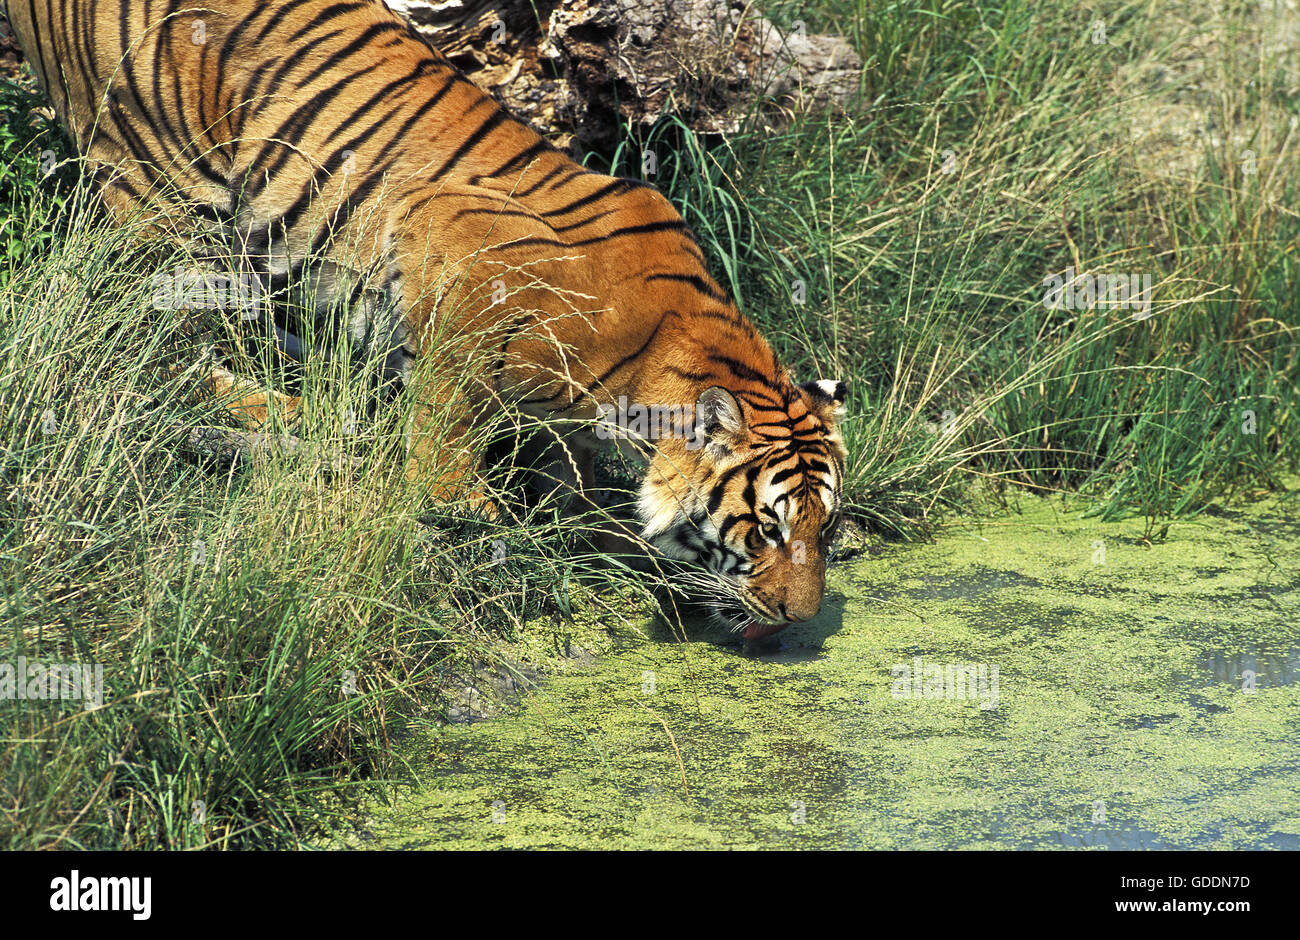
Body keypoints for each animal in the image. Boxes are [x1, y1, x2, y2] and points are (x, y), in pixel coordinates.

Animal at [5, 0, 848, 639]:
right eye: (767, 529)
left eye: (826, 529)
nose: (798, 619)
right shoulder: (454, 229)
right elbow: (449, 407)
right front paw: (463, 506)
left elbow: (568, 475)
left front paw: (583, 525)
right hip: (160, 196)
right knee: (148, 348)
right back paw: (299, 413)